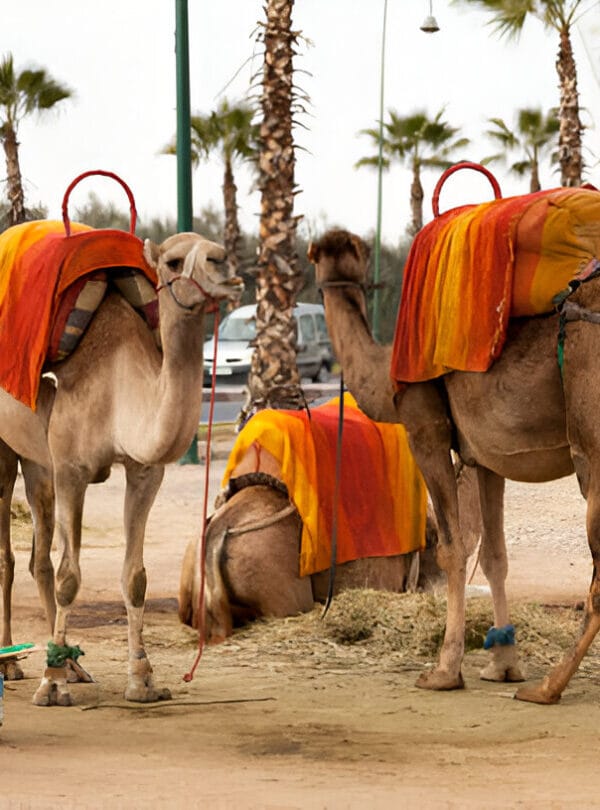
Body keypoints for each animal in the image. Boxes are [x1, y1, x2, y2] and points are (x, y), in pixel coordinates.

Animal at [0, 230, 242, 704]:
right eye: (172, 261)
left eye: (216, 246)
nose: (224, 263)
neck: (118, 385)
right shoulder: (72, 468)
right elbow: (70, 576)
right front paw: (50, 686)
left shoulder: (144, 471)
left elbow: (135, 578)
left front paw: (143, 680)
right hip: (4, 452)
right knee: (8, 556)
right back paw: (11, 664)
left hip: (36, 459)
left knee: (38, 556)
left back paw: (72, 665)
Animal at [308, 226, 600, 705]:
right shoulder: (487, 458)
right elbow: (495, 556)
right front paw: (503, 666)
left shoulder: (424, 429)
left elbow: (452, 548)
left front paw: (444, 670)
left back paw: (548, 687)